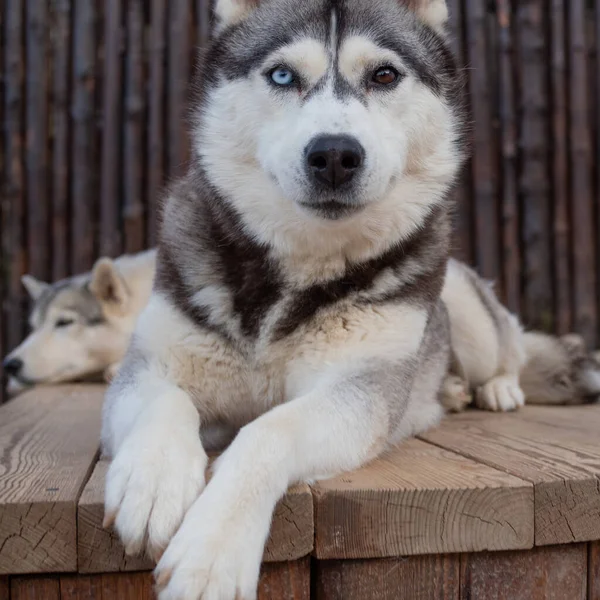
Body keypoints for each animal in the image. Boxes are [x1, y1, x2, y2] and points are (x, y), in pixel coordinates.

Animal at [102, 1, 468, 596]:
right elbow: (166, 399)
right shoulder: (151, 362)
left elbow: (269, 429)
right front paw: (152, 480)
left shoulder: (360, 390)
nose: (335, 154)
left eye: (384, 75)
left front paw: (213, 550)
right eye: (281, 75)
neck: (297, 268)